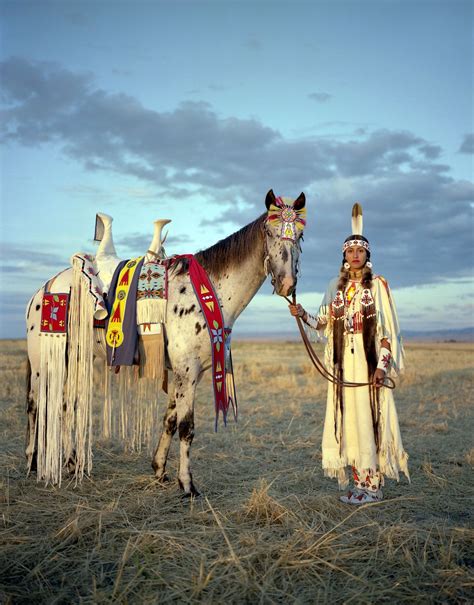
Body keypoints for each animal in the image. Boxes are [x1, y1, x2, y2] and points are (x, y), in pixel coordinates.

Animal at [25, 190, 308, 496]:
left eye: (301, 235)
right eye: (268, 231)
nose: (287, 283)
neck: (207, 291)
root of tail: (44, 288)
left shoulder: (189, 373)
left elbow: (170, 420)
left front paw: (159, 469)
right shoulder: (188, 371)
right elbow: (187, 427)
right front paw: (188, 484)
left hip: (76, 358)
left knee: (67, 404)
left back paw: (71, 463)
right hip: (43, 360)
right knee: (36, 404)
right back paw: (33, 463)